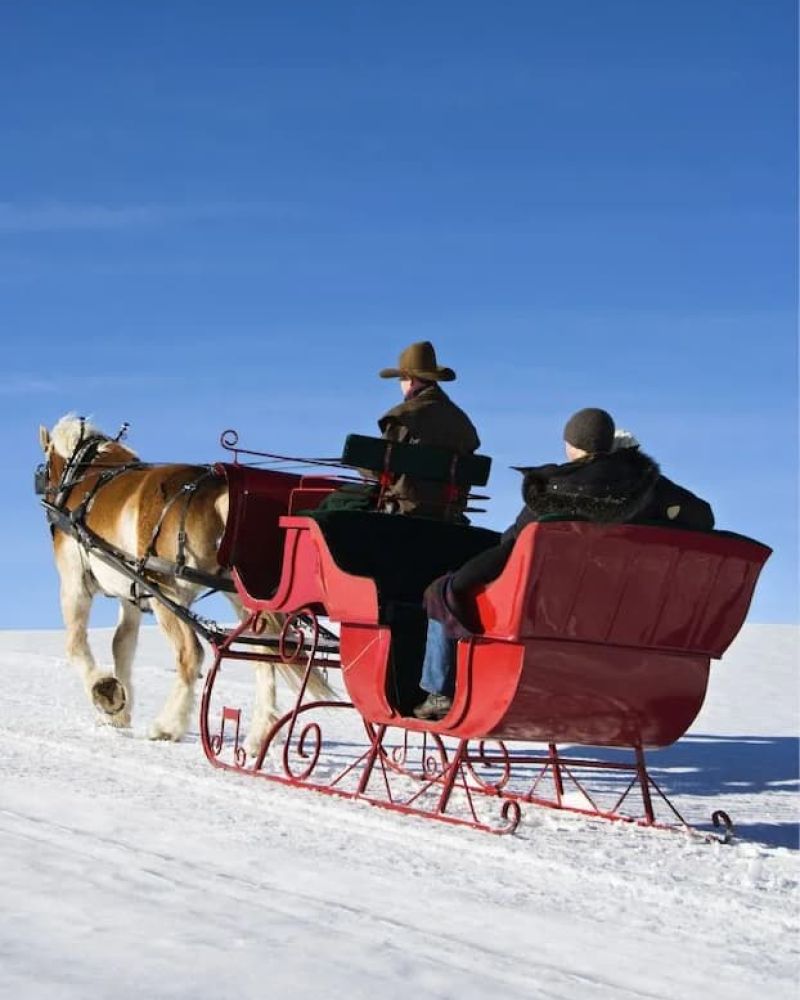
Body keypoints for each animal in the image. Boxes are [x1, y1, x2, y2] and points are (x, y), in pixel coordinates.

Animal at [37, 413, 332, 753]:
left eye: (46, 468)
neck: (86, 477)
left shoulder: (75, 582)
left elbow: (75, 644)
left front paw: (106, 692)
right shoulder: (131, 595)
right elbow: (121, 645)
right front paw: (121, 714)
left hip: (169, 595)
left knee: (192, 654)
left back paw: (169, 725)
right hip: (239, 597)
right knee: (263, 655)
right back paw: (258, 736)